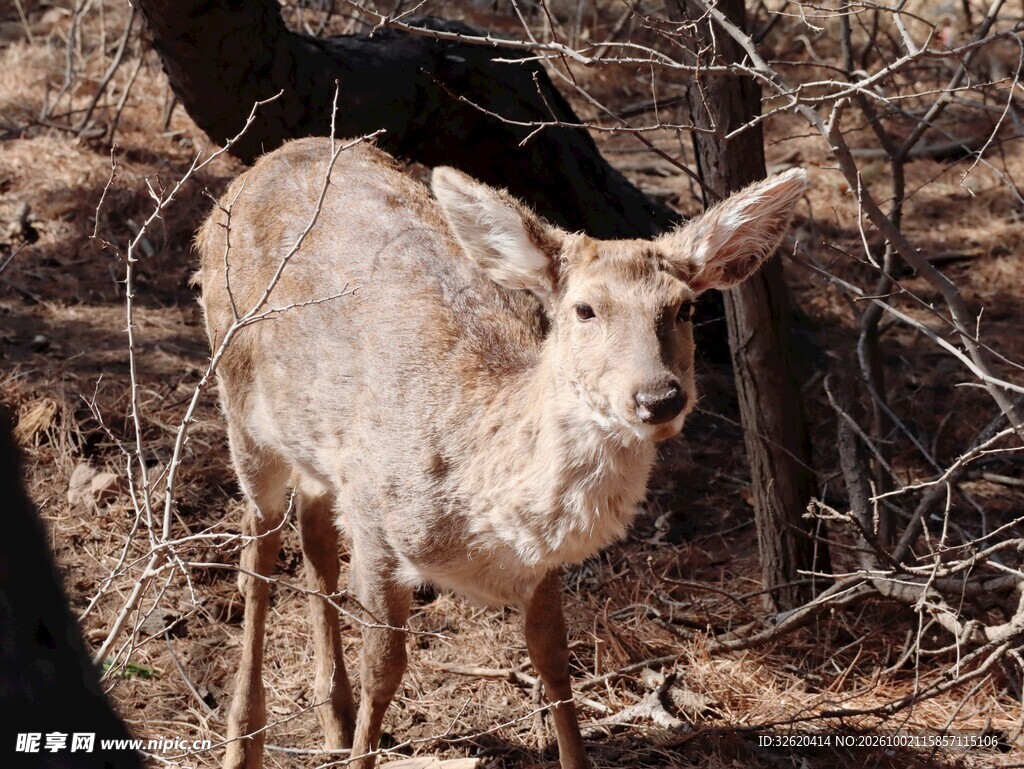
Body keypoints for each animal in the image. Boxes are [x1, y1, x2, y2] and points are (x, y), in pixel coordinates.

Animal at [195, 136, 807, 769]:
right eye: (585, 309)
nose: (659, 397)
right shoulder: (376, 518)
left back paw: (333, 722)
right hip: (238, 396)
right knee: (257, 555)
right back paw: (244, 741)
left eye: (684, 307)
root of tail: (266, 162)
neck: (479, 503)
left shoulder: (537, 565)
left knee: (313, 534)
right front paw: (361, 749)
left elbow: (554, 660)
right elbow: (384, 670)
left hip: (313, 445)